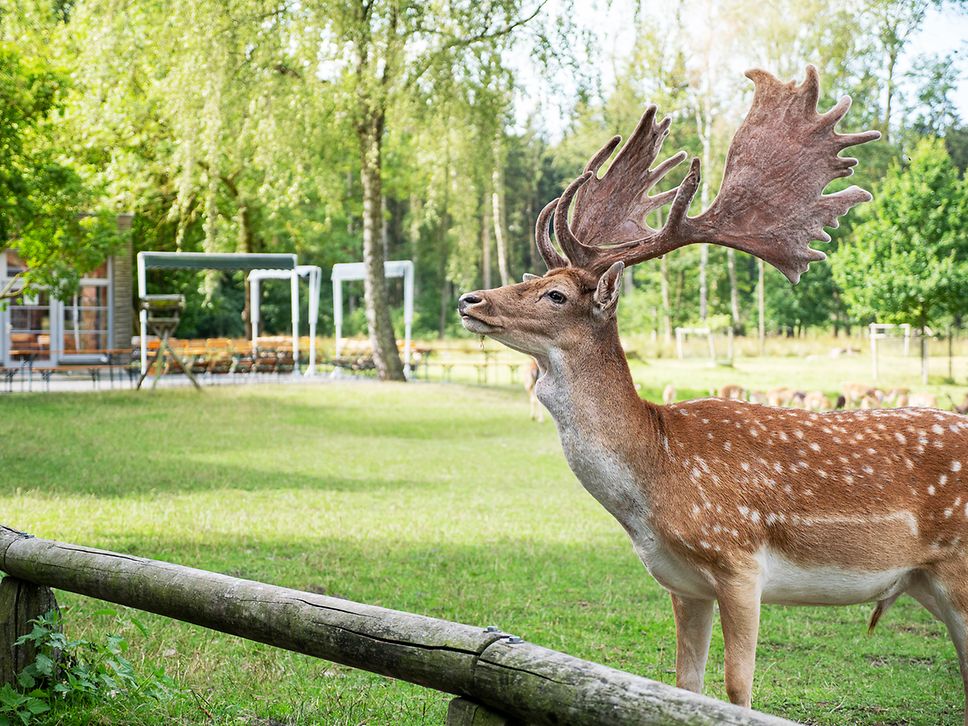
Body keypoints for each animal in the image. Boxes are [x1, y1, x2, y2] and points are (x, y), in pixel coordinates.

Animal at [456, 67, 968, 724]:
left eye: (556, 295)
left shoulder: (739, 561)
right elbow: (683, 687)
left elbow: (737, 690)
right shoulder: (683, 584)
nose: (470, 300)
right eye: (534, 277)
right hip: (927, 583)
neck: (656, 475)